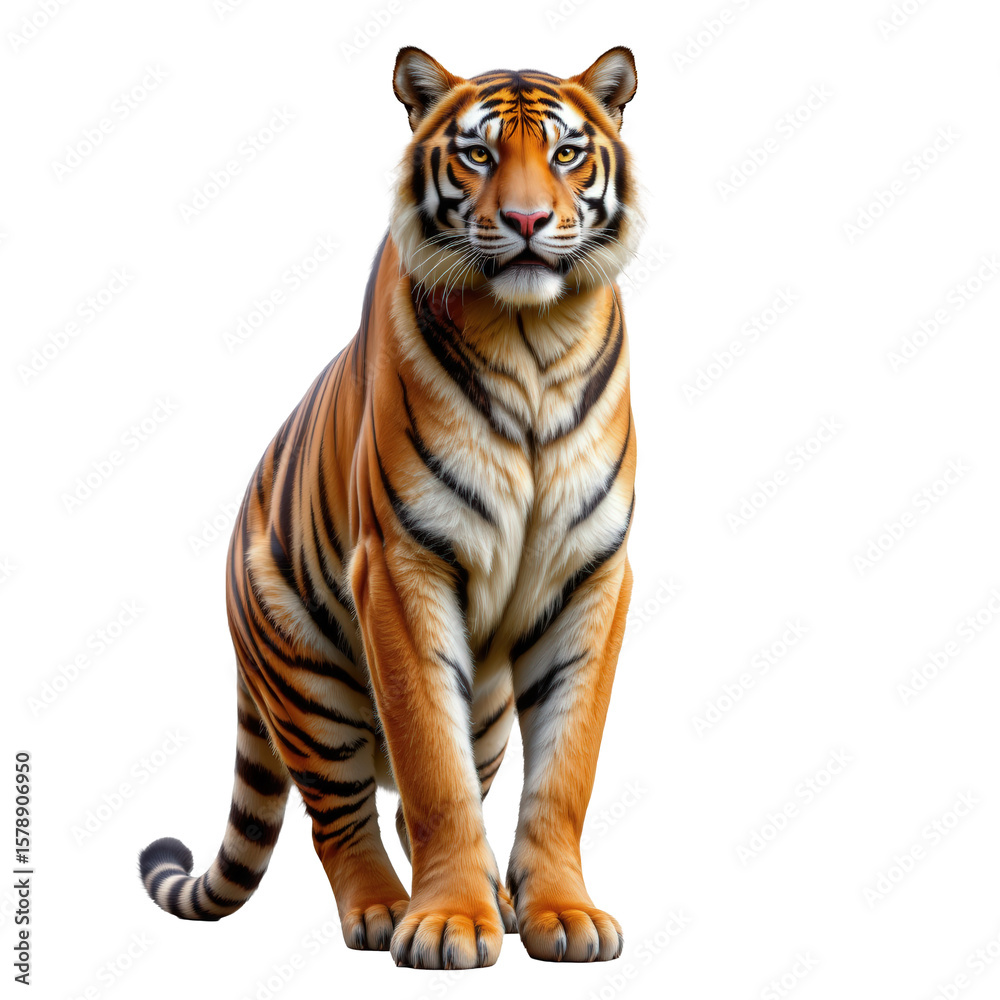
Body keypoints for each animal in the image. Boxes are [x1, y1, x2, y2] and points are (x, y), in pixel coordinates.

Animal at [139, 45, 639, 970]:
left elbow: (565, 770)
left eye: (565, 154)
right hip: (308, 684)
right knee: (341, 820)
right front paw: (445, 926)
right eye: (477, 154)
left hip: (484, 712)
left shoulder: (592, 572)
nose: (524, 220)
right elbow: (431, 767)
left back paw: (496, 899)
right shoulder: (404, 564)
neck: (533, 344)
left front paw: (562, 913)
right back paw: (384, 911)